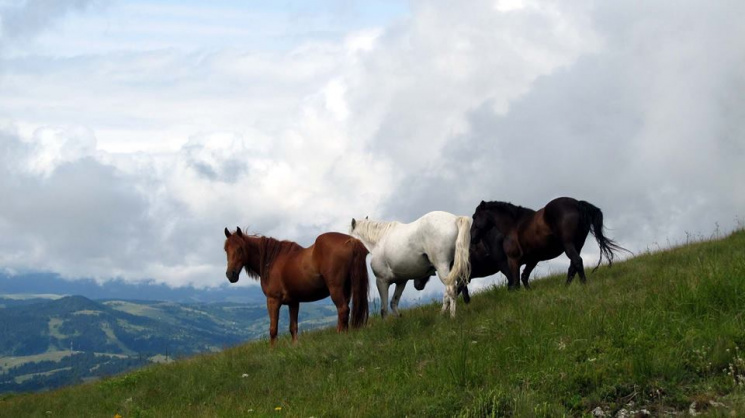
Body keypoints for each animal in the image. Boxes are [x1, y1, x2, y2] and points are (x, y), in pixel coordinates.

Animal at [224, 227, 370, 344]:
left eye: (240, 249)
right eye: (226, 249)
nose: (230, 275)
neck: (271, 260)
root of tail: (352, 241)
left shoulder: (273, 300)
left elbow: (273, 329)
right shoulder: (293, 302)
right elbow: (293, 328)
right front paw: (295, 346)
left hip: (336, 289)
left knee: (343, 310)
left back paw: (338, 335)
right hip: (347, 289)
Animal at [470, 197, 628, 290]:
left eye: (475, 217)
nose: (472, 238)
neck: (513, 226)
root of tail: (576, 203)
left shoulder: (513, 260)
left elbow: (515, 282)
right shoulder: (533, 260)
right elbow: (524, 277)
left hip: (568, 244)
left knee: (577, 262)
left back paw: (583, 285)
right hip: (578, 244)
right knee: (572, 266)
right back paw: (566, 288)